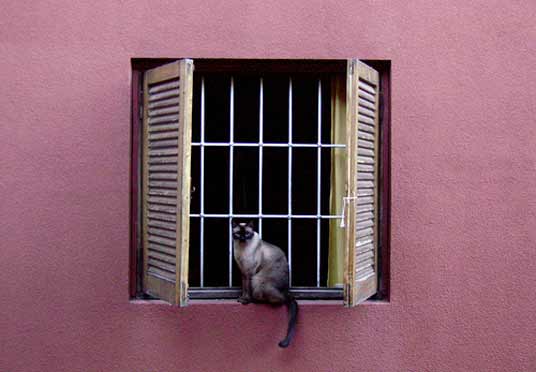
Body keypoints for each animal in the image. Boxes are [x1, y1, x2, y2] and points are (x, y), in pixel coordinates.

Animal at [232, 219, 300, 348]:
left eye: (247, 234)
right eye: (238, 234)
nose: (243, 238)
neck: (241, 248)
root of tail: (286, 290)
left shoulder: (250, 272)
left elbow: (247, 289)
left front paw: (246, 301)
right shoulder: (243, 272)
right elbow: (244, 288)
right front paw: (242, 298)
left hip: (258, 280)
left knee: (279, 300)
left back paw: (257, 300)